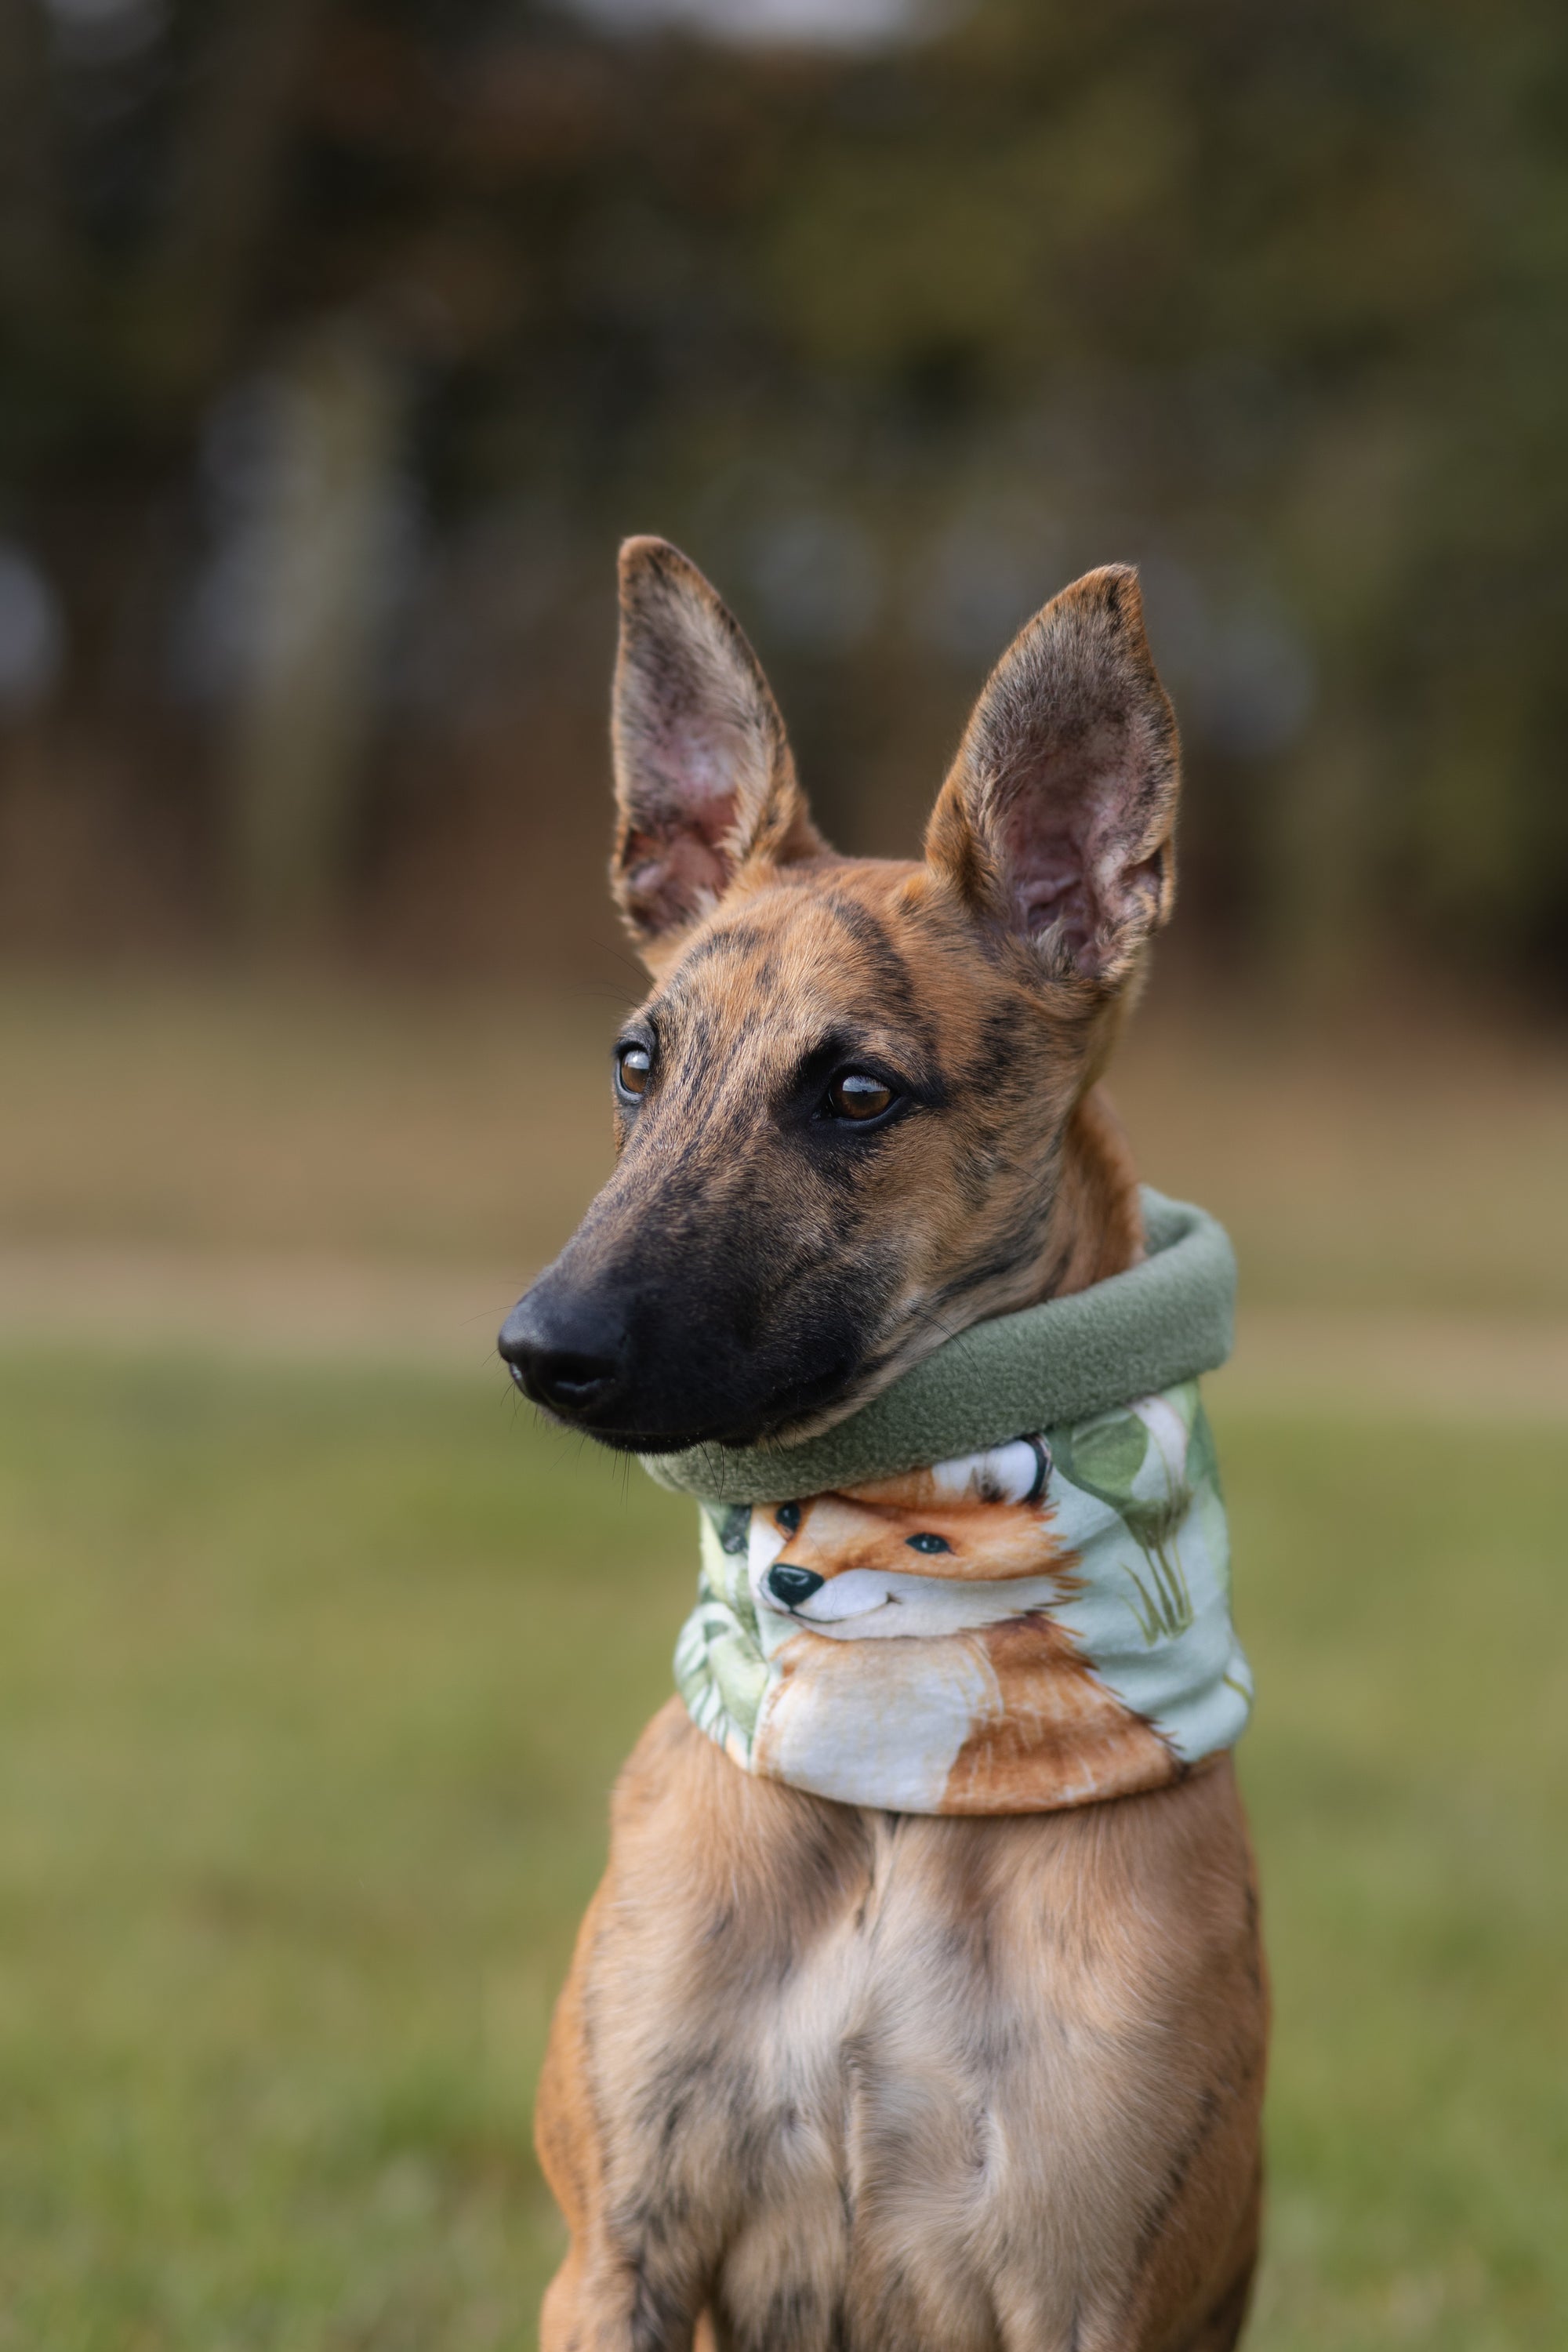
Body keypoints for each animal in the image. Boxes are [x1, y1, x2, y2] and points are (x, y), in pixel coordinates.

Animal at [500, 538, 1267, 2352]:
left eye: (856, 1093)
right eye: (636, 1063)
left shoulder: (1086, 2282)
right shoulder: (617, 2250)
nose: (544, 1349)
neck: (894, 1785)